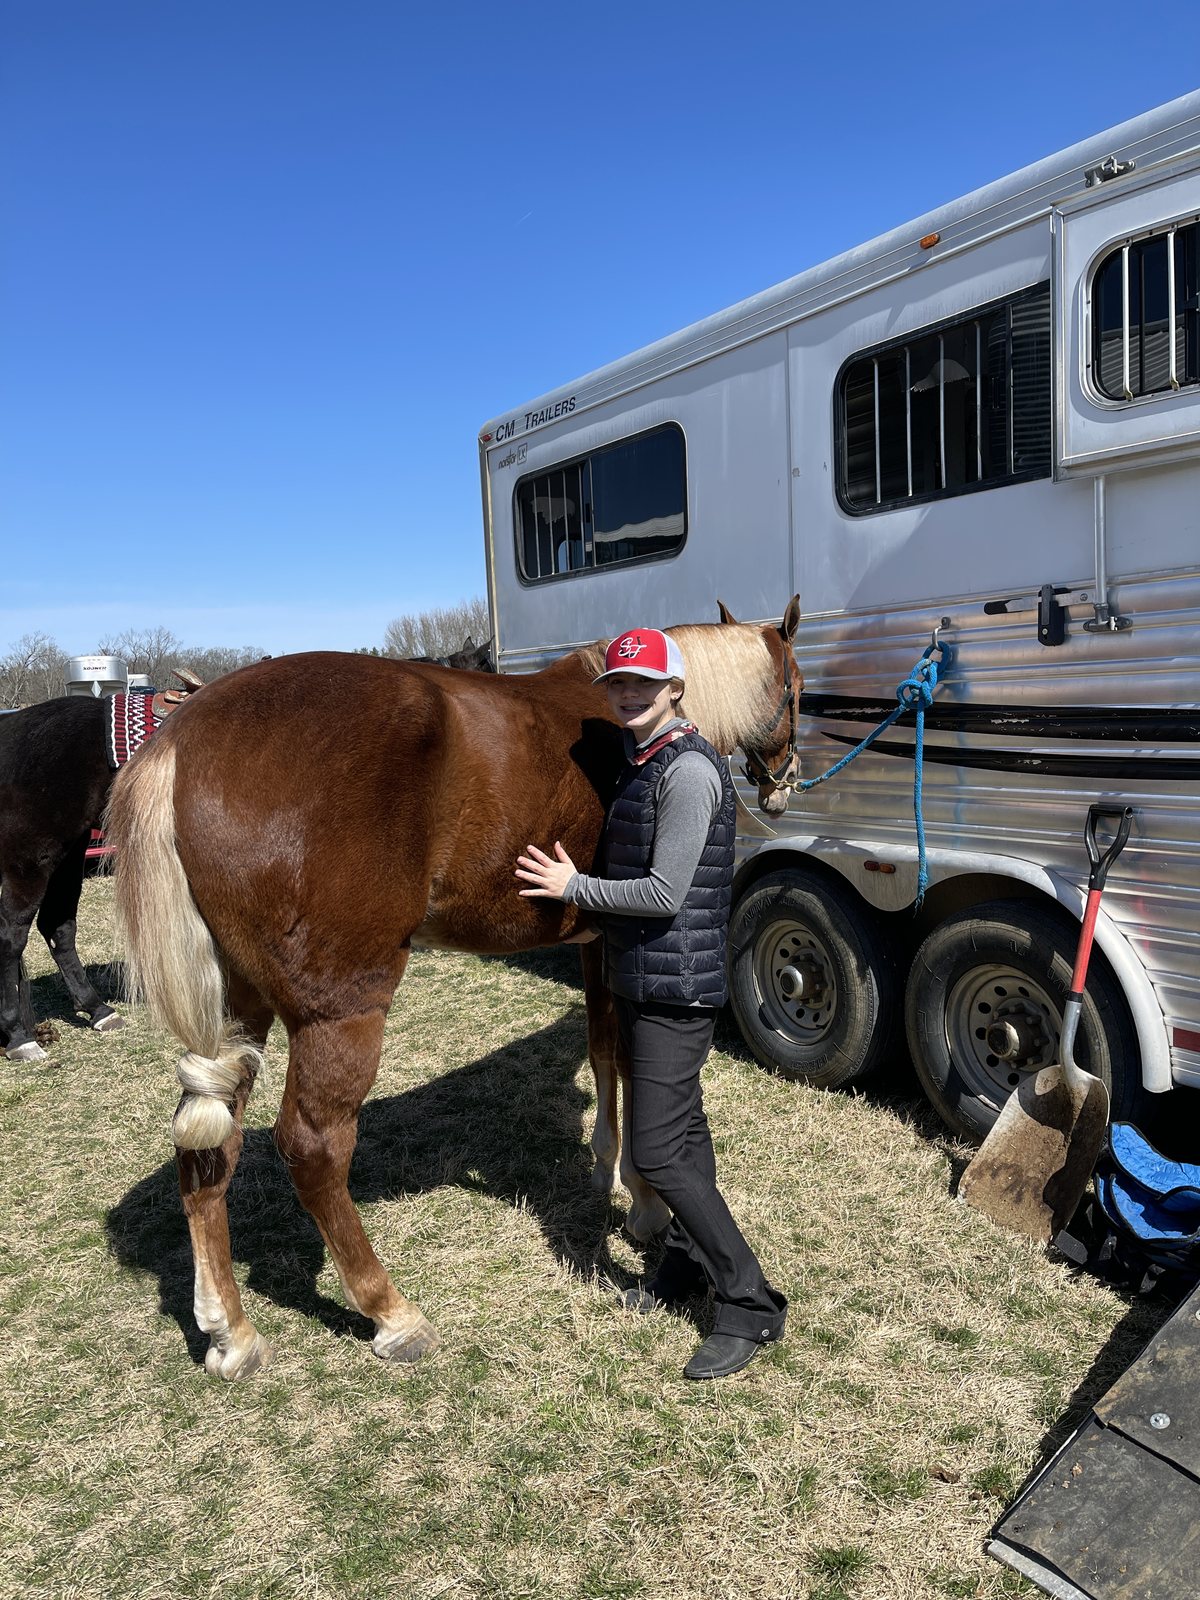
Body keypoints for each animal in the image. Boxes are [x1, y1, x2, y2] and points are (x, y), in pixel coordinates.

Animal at [0, 674, 200, 1061]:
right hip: (31, 860)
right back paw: (19, 1036)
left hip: (68, 853)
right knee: (11, 938)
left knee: (58, 927)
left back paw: (96, 1009)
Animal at [107, 599, 802, 1379]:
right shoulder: (617, 941)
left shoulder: (598, 943)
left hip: (237, 1012)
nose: (785, 778)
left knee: (207, 1147)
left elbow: (603, 1051)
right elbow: (624, 1056)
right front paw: (646, 1201)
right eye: (797, 688)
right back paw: (390, 1313)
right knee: (314, 1150)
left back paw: (231, 1331)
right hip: (339, 1013)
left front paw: (610, 1168)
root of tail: (183, 738)